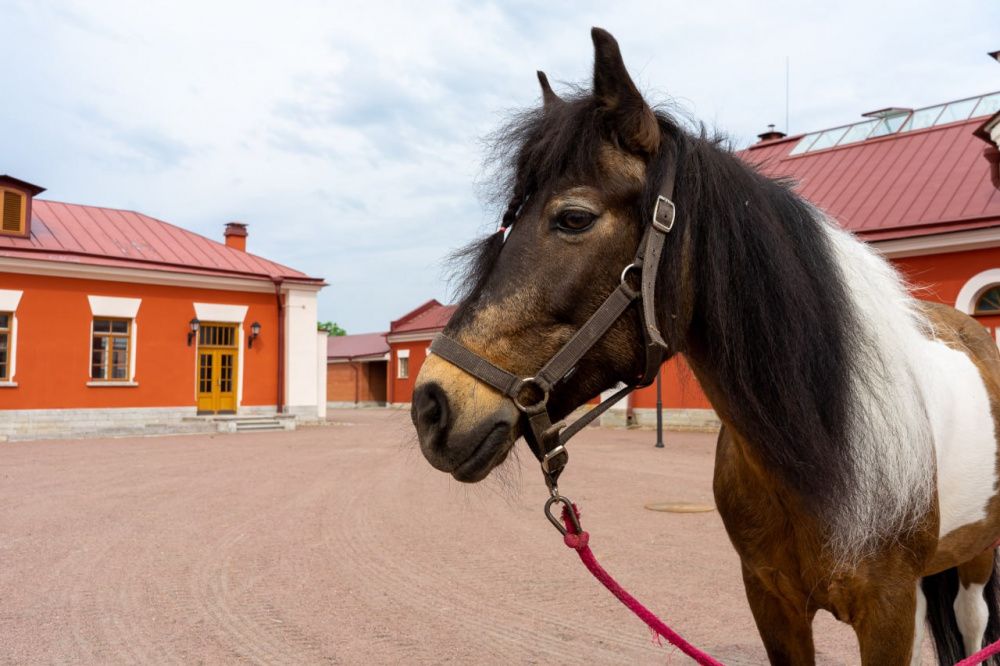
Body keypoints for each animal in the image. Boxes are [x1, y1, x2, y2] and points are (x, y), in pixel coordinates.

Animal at [410, 28, 1000, 660]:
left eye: (573, 218)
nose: (431, 406)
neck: (825, 445)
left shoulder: (889, 610)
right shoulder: (771, 602)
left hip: (976, 560)